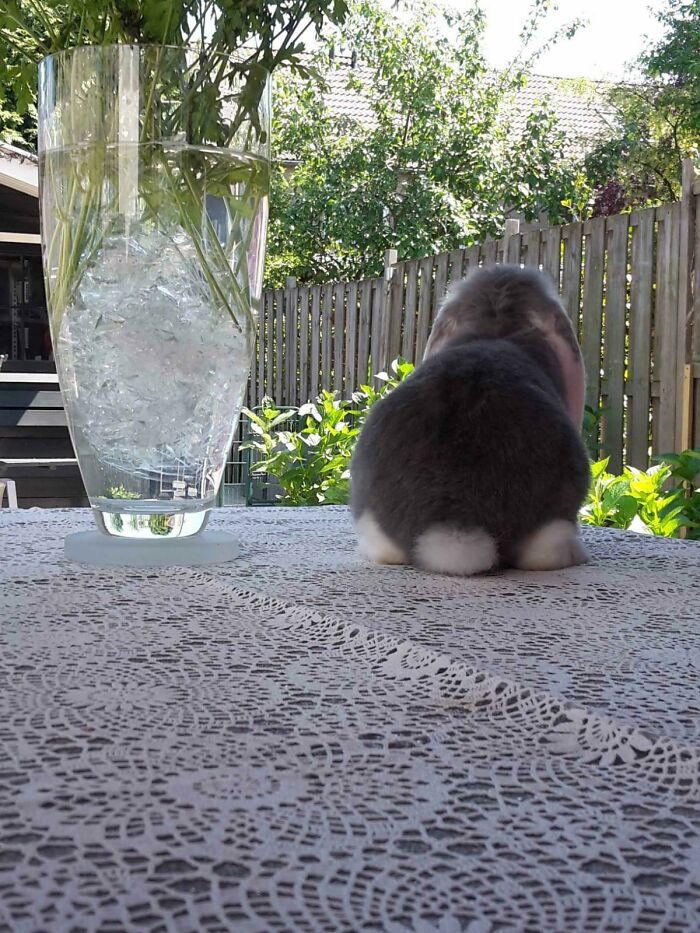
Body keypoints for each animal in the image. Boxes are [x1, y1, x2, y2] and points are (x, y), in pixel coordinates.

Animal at [351, 264, 590, 575]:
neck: (496, 330)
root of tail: (454, 521)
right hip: (553, 517)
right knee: (543, 554)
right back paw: (575, 555)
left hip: (373, 516)